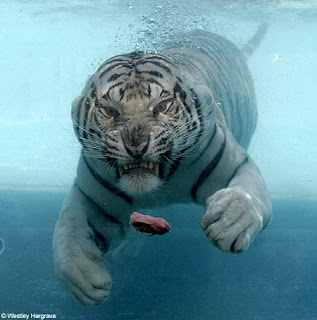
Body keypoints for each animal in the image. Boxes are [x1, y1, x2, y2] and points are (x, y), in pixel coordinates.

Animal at [52, 24, 272, 304]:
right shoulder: (92, 197)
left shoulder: (236, 163)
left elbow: (247, 195)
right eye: (110, 111)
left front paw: (230, 223)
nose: (136, 145)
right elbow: (68, 230)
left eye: (162, 105)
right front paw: (84, 275)